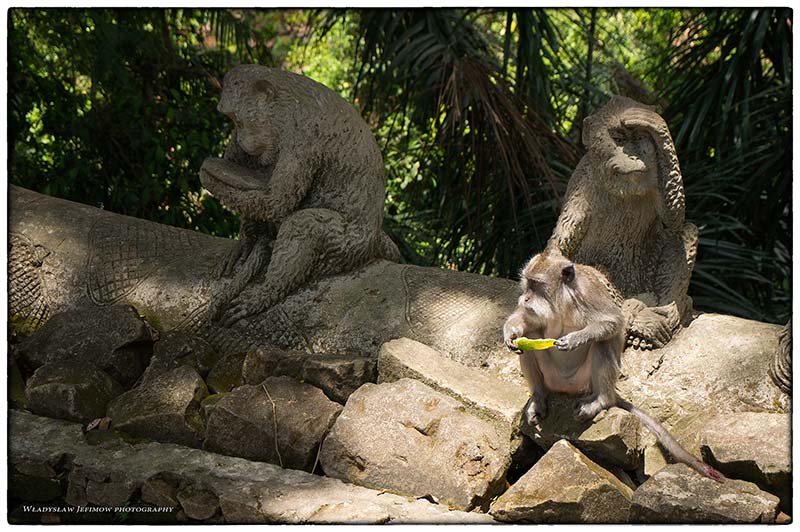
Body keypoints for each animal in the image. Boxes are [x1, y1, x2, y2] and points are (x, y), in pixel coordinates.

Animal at [503, 250, 722, 481]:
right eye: (527, 283)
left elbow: (613, 322)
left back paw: (601, 400)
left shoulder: (589, 294)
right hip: (553, 380)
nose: (525, 298)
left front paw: (575, 339)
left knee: (602, 343)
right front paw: (509, 333)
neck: (562, 300)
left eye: (536, 285)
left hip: (584, 383)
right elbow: (526, 321)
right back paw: (539, 396)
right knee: (531, 337)